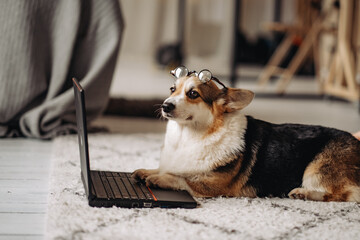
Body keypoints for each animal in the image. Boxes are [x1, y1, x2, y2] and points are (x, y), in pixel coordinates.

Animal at [132, 67, 360, 202]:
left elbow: (179, 178)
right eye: (172, 89)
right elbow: (166, 168)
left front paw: (159, 178)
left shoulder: (212, 186)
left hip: (315, 171)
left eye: (193, 94)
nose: (165, 106)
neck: (188, 136)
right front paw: (145, 171)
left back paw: (303, 193)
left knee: (341, 194)